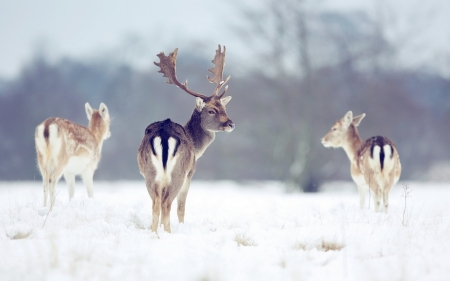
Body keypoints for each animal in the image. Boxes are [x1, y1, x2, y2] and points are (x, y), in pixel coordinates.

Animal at [137, 44, 236, 233]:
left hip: (150, 174)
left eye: (224, 108)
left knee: (156, 204)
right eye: (211, 110)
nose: (231, 123)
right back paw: (168, 233)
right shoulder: (190, 174)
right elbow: (181, 208)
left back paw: (155, 233)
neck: (196, 147)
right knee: (167, 204)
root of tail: (164, 133)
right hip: (178, 173)